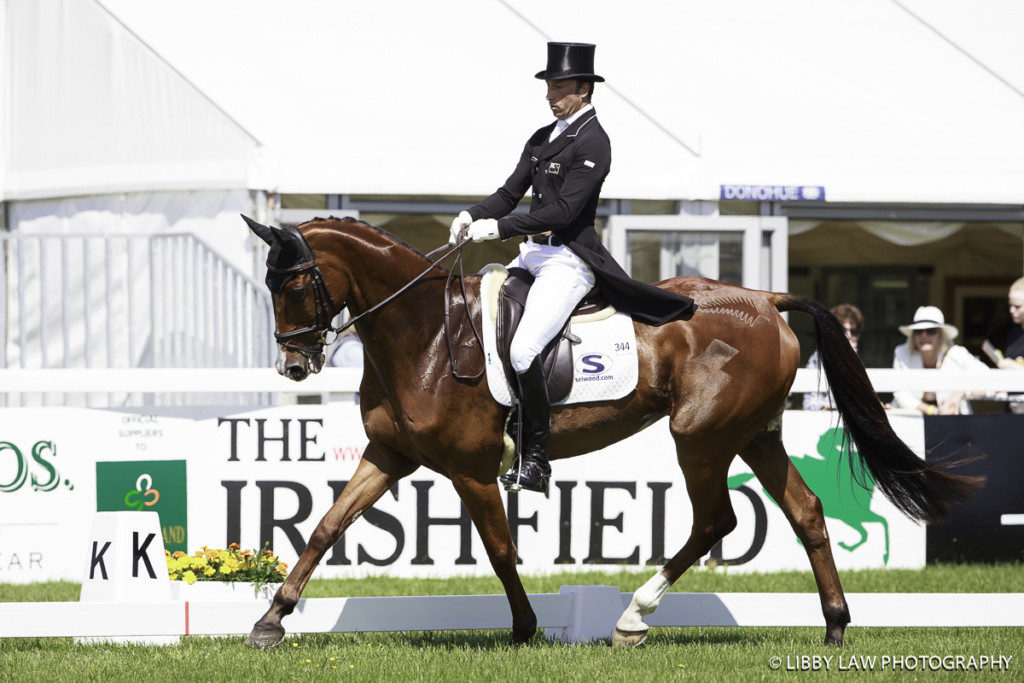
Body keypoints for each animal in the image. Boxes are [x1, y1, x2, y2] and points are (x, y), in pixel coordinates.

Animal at [239, 216, 974, 651]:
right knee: (806, 511)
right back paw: (835, 625)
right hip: (754, 434)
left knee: (717, 520)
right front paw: (272, 619)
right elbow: (326, 527)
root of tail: (766, 300)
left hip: (701, 436)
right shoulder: (389, 454)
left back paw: (633, 617)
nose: (295, 366)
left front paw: (525, 628)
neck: (422, 333)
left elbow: (500, 550)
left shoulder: (470, 468)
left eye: (295, 283)